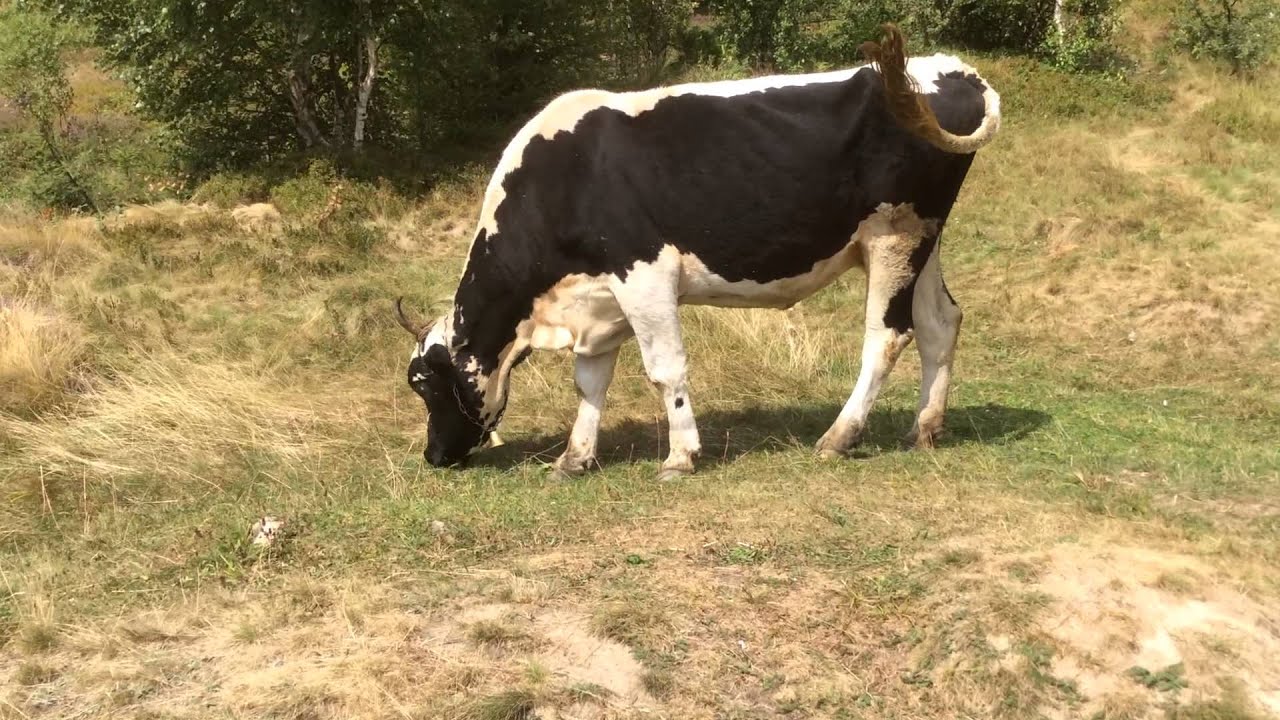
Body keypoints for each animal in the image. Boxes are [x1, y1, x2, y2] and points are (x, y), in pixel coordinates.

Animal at [394, 25, 1001, 478]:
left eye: (422, 383)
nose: (434, 456)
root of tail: (951, 69)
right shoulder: (600, 297)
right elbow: (589, 380)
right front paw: (574, 458)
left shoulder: (644, 275)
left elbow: (665, 370)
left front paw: (680, 456)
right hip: (922, 239)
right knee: (941, 321)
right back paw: (924, 428)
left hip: (895, 234)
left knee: (888, 335)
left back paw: (839, 435)